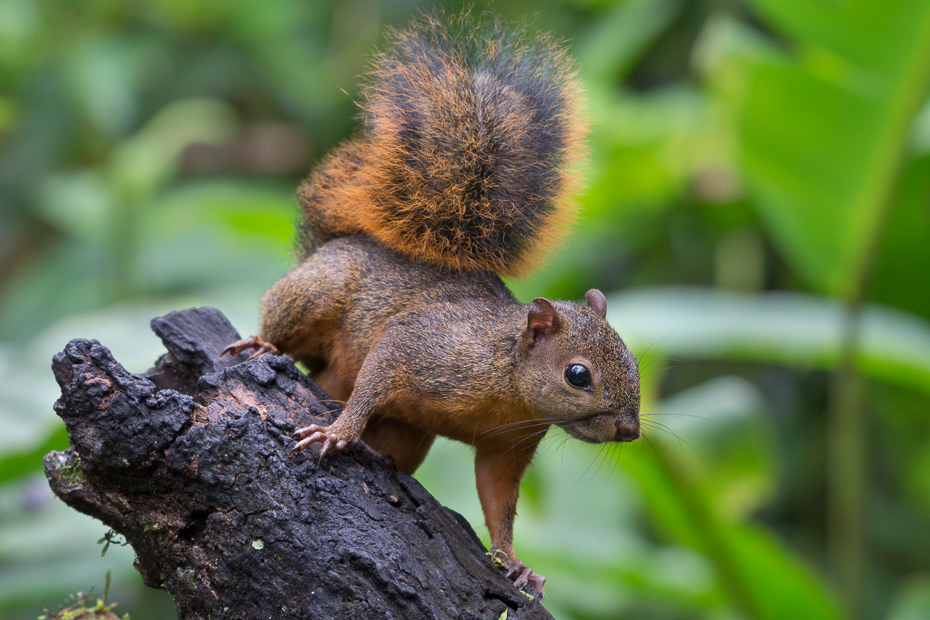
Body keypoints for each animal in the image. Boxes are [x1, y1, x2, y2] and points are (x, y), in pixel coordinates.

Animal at [224, 10, 640, 600]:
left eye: (633, 362)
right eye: (577, 375)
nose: (630, 431)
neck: (507, 386)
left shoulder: (507, 446)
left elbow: (498, 500)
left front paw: (514, 564)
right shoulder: (425, 345)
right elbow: (377, 373)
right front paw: (337, 432)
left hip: (409, 432)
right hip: (318, 291)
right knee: (289, 326)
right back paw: (263, 343)